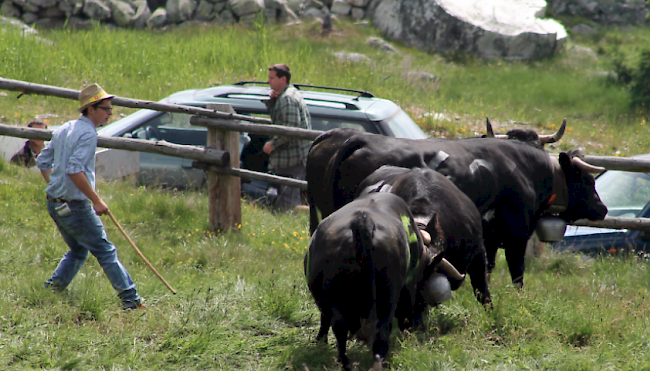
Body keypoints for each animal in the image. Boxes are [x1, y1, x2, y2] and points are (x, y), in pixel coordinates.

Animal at [306, 120, 604, 290]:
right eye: (588, 180)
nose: (602, 209)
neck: (524, 168)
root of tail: (358, 137)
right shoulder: (516, 234)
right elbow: (517, 273)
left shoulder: (490, 237)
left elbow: (488, 268)